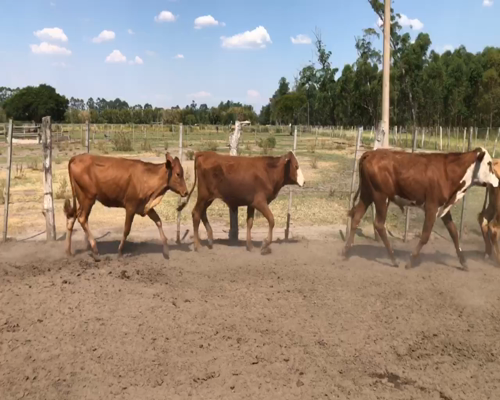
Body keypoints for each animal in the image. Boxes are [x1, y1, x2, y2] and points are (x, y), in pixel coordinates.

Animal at [346, 148, 498, 268]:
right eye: (489, 164)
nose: (498, 180)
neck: (448, 172)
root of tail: (371, 153)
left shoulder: (444, 209)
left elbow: (454, 233)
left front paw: (464, 262)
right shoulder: (431, 207)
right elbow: (425, 236)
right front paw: (410, 261)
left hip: (367, 194)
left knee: (356, 216)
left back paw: (346, 251)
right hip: (381, 197)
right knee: (378, 224)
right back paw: (394, 259)